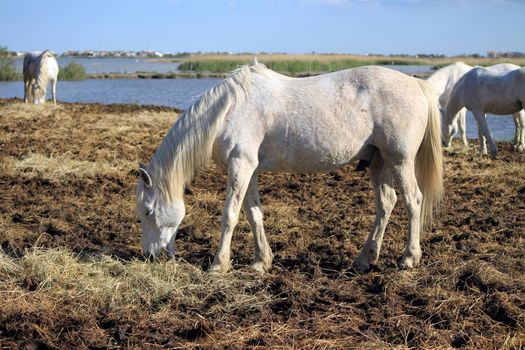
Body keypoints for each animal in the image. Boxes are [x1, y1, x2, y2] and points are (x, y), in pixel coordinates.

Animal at [135, 61, 442, 274]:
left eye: (148, 211)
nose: (149, 256)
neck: (229, 110)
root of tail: (417, 85)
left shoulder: (240, 166)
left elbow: (230, 215)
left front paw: (218, 264)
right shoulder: (249, 171)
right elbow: (253, 214)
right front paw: (261, 262)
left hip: (400, 161)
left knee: (413, 201)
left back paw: (409, 258)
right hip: (379, 162)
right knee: (386, 203)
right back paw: (365, 259)